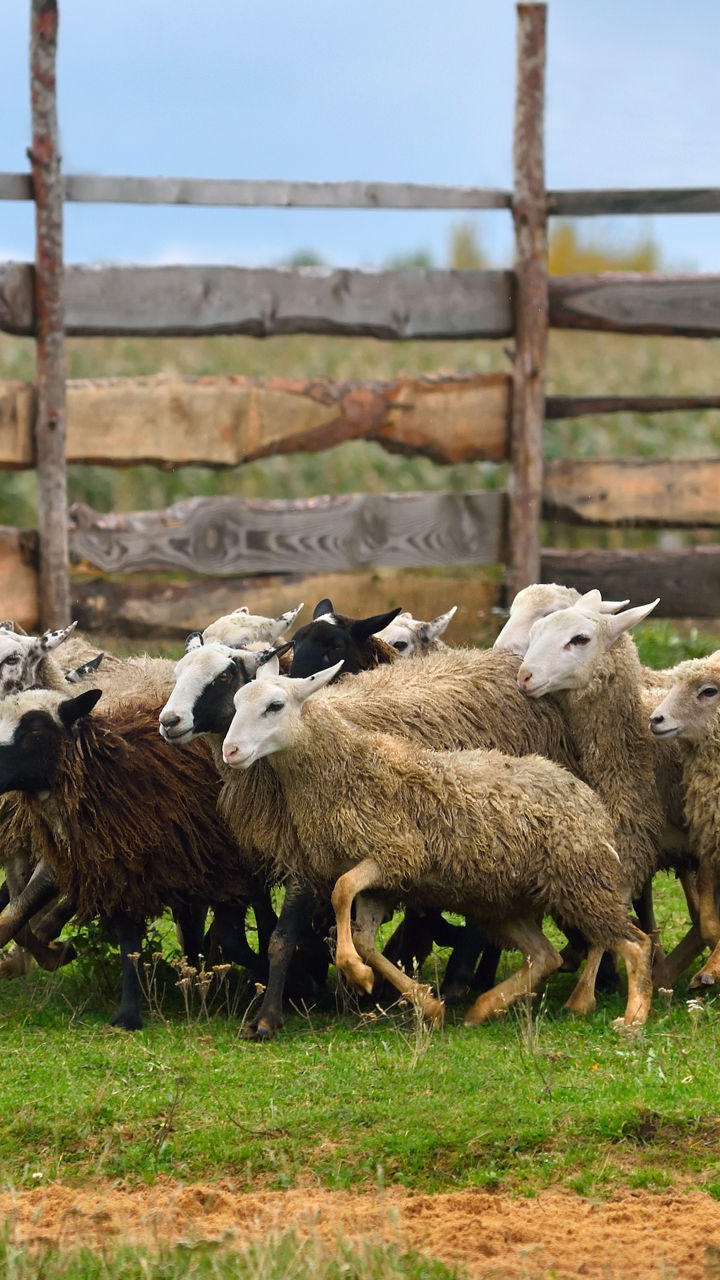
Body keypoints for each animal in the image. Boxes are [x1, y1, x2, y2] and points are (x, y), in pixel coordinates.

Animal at [0, 686, 272, 1029]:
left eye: (35, 729)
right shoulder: (121, 870)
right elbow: (128, 942)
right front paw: (128, 1014)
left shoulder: (227, 871)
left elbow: (231, 938)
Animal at [221, 657, 653, 1028]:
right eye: (236, 702)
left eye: (275, 706)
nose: (230, 751)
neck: (349, 765)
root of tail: (584, 793)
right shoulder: (381, 881)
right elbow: (363, 937)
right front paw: (422, 1001)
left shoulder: (396, 854)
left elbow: (341, 893)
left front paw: (355, 972)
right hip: (507, 904)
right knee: (544, 956)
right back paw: (483, 1008)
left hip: (581, 883)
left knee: (635, 942)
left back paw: (630, 1016)